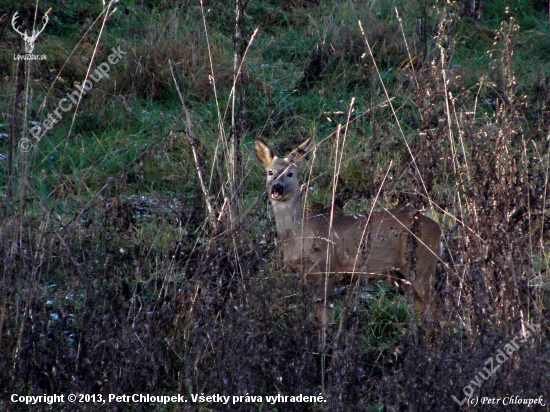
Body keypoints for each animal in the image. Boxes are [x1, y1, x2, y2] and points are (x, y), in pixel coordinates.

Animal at [256, 138, 444, 328]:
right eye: (270, 172)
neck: (299, 234)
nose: (277, 187)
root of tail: (439, 229)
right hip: (402, 275)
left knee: (437, 308)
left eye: (290, 174)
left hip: (423, 265)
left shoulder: (327, 269)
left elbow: (326, 320)